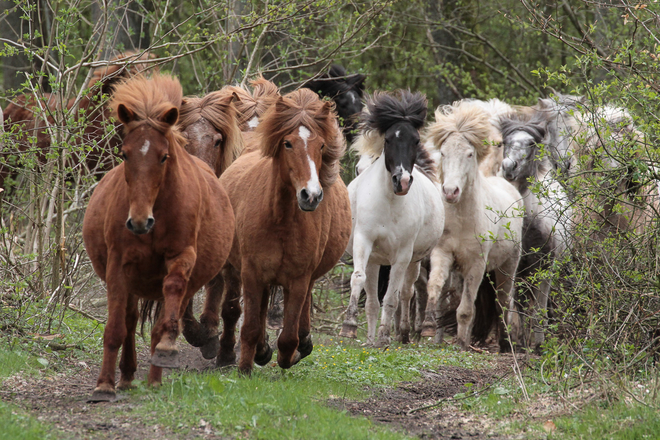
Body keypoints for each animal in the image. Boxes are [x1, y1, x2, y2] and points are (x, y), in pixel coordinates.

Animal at [82, 74, 233, 400]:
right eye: (124, 154)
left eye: (164, 157)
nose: (139, 222)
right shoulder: (118, 266)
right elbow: (116, 328)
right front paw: (104, 385)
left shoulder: (180, 258)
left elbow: (166, 312)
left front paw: (165, 351)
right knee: (129, 320)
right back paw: (126, 376)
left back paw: (153, 375)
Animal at [195, 87, 354, 372]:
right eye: (288, 143)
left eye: (321, 146)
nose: (311, 195)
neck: (281, 220)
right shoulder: (252, 273)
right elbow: (248, 324)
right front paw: (245, 365)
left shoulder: (299, 279)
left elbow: (288, 335)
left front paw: (289, 353)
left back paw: (300, 343)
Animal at [340, 91, 444, 348]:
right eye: (388, 140)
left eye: (415, 140)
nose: (402, 182)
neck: (388, 202)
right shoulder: (363, 241)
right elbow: (358, 280)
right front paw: (349, 326)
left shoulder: (403, 255)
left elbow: (391, 297)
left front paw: (384, 336)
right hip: (375, 260)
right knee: (372, 300)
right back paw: (369, 339)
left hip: (414, 261)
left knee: (406, 292)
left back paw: (403, 333)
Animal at [420, 101, 524, 352]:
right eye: (443, 153)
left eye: (469, 154)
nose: (450, 192)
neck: (462, 220)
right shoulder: (442, 253)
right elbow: (434, 286)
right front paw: (428, 326)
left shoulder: (476, 264)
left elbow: (466, 310)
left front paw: (461, 343)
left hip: (508, 265)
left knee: (503, 301)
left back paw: (505, 343)